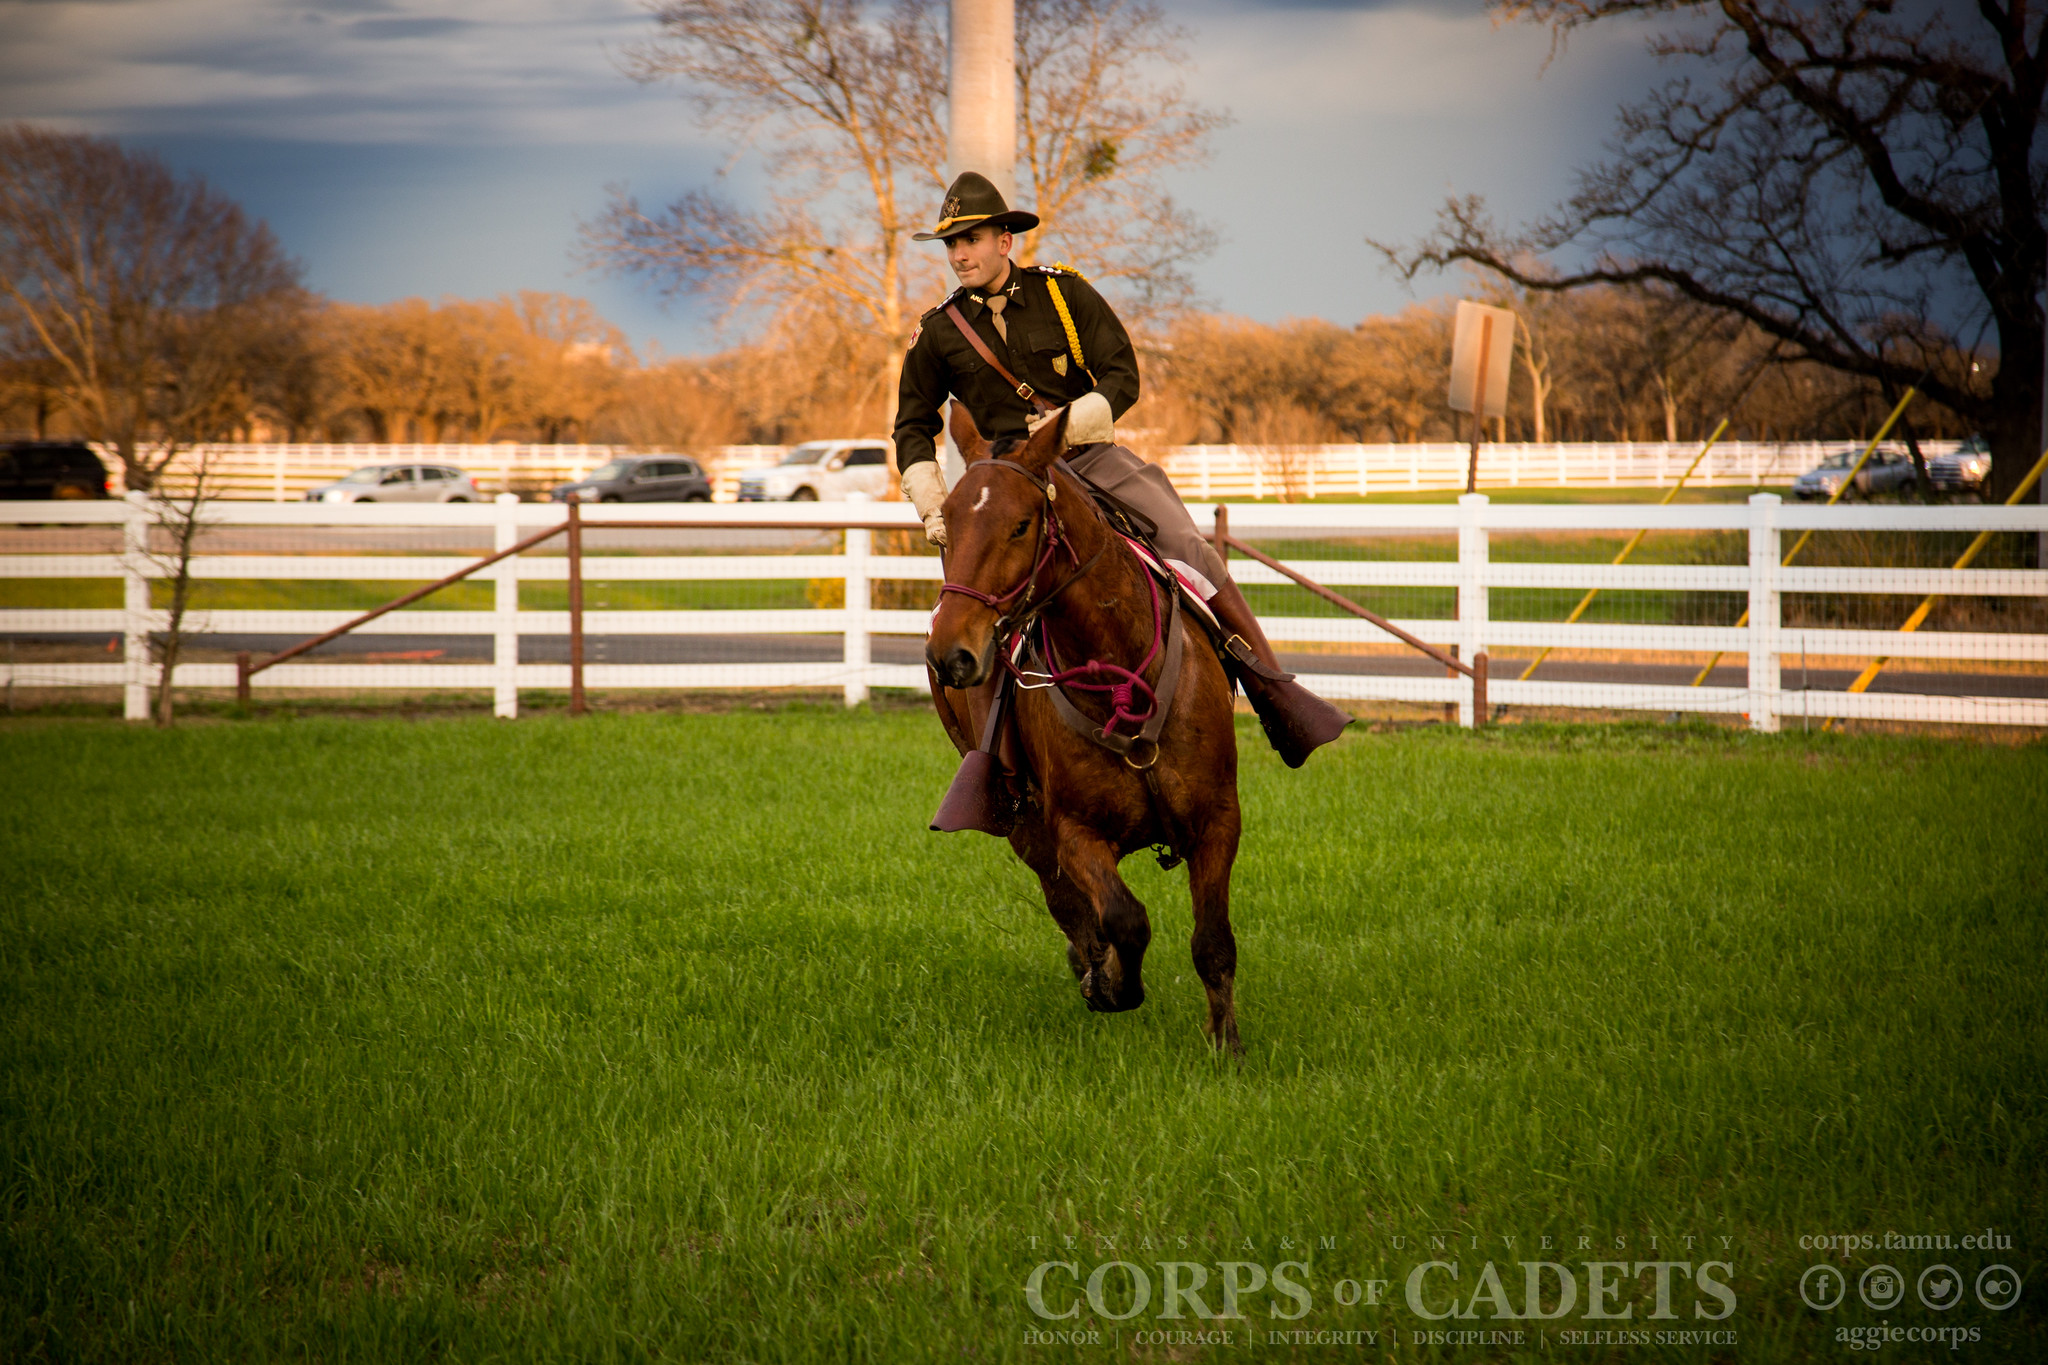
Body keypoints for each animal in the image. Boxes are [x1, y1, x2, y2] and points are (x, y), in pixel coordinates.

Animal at [929, 405, 1245, 1055]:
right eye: (946, 523)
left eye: (1021, 525)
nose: (949, 655)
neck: (1118, 670)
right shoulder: (1073, 833)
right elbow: (1124, 919)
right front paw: (1112, 981)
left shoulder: (1218, 821)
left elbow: (1212, 942)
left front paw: (1226, 1043)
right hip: (1020, 819)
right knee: (1064, 900)